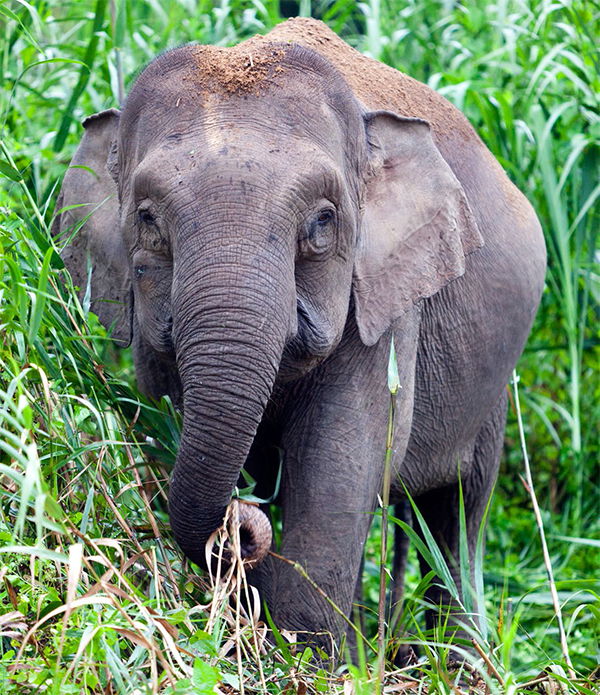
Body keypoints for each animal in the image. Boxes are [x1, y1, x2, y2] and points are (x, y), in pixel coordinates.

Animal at [54, 17, 548, 656]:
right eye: (146, 218)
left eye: (321, 222)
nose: (240, 526)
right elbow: (170, 415)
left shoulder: (386, 301)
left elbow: (341, 462)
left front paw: (304, 652)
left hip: (491, 388)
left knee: (459, 510)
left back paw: (450, 655)